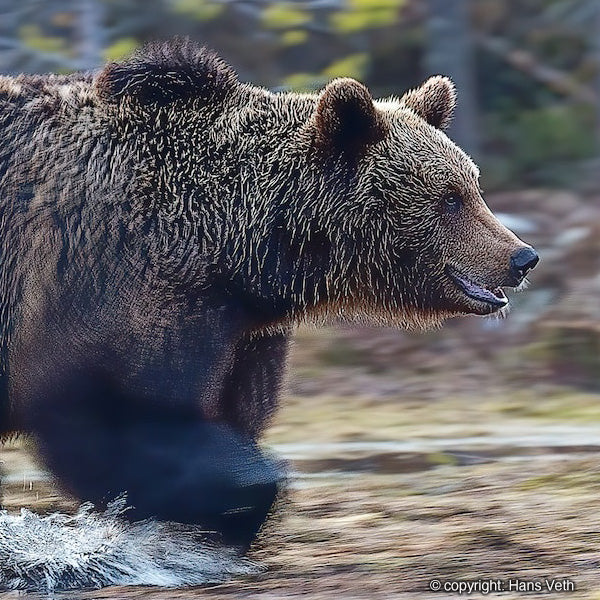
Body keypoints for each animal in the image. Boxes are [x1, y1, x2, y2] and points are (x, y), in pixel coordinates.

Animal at [0, 39, 536, 552]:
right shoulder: (112, 281)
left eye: (472, 185)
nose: (522, 257)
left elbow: (231, 410)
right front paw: (227, 501)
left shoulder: (242, 331)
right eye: (450, 198)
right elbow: (115, 411)